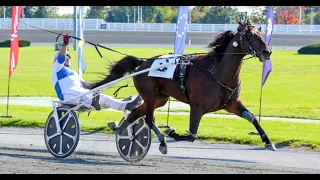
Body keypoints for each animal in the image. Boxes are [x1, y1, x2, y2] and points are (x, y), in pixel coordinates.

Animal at [89, 20, 276, 154]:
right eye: (250, 34)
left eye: (261, 33)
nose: (267, 52)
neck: (217, 71)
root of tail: (143, 63)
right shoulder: (197, 106)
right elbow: (192, 136)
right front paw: (171, 132)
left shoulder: (231, 103)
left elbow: (252, 117)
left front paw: (268, 142)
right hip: (149, 94)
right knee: (149, 119)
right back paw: (161, 142)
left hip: (160, 98)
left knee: (136, 113)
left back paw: (122, 130)